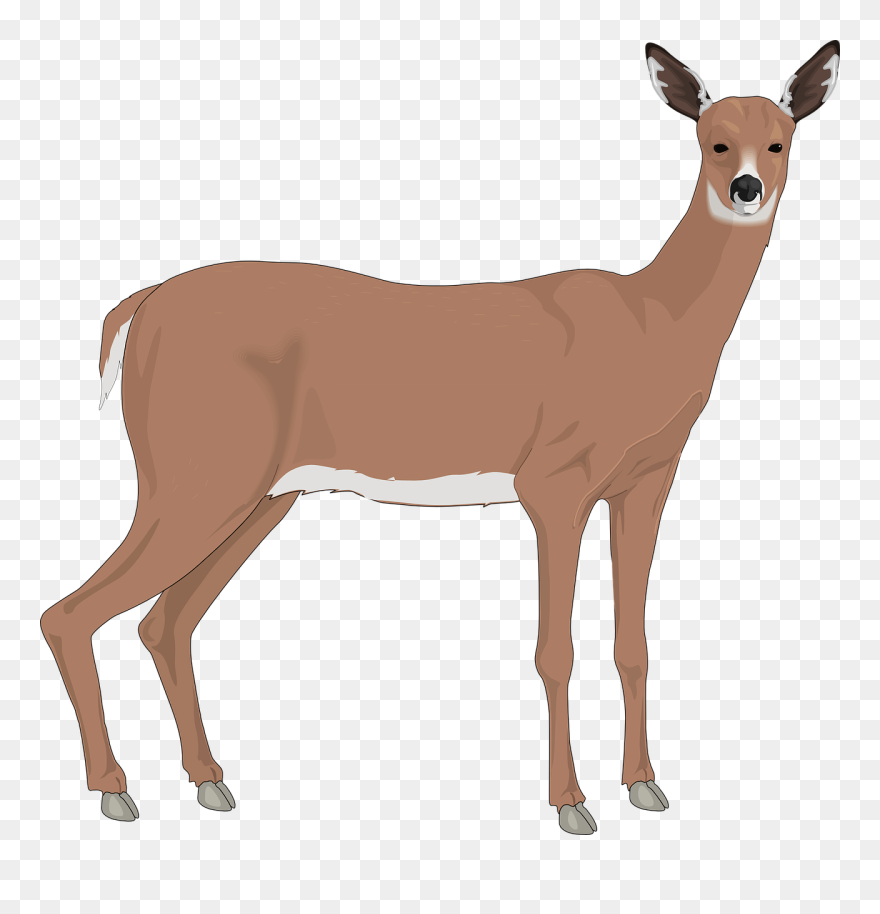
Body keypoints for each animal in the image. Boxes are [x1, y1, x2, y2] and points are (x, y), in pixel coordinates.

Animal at [41, 41, 840, 833]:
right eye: (713, 141)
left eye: (780, 139)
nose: (746, 188)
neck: (655, 324)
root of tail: (138, 310)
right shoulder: (555, 483)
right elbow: (555, 650)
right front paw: (571, 803)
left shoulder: (647, 481)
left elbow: (633, 645)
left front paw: (645, 785)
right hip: (196, 476)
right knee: (70, 613)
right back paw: (115, 791)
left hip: (259, 494)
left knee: (164, 623)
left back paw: (208, 781)